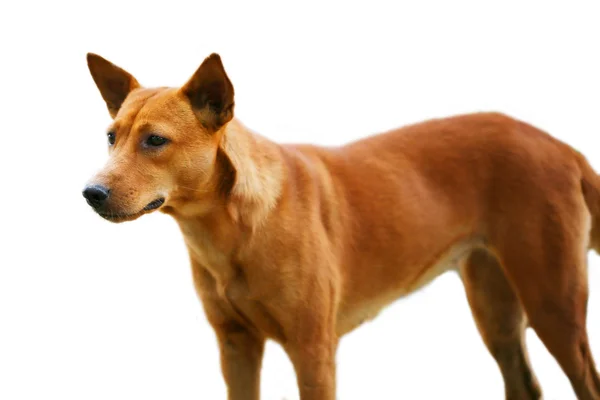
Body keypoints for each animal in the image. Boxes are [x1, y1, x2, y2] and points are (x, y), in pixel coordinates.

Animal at [83, 53, 600, 400]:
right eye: (111, 138)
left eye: (155, 141)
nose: (91, 193)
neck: (230, 232)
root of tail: (562, 146)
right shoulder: (235, 345)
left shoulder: (312, 349)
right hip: (496, 310)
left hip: (553, 304)